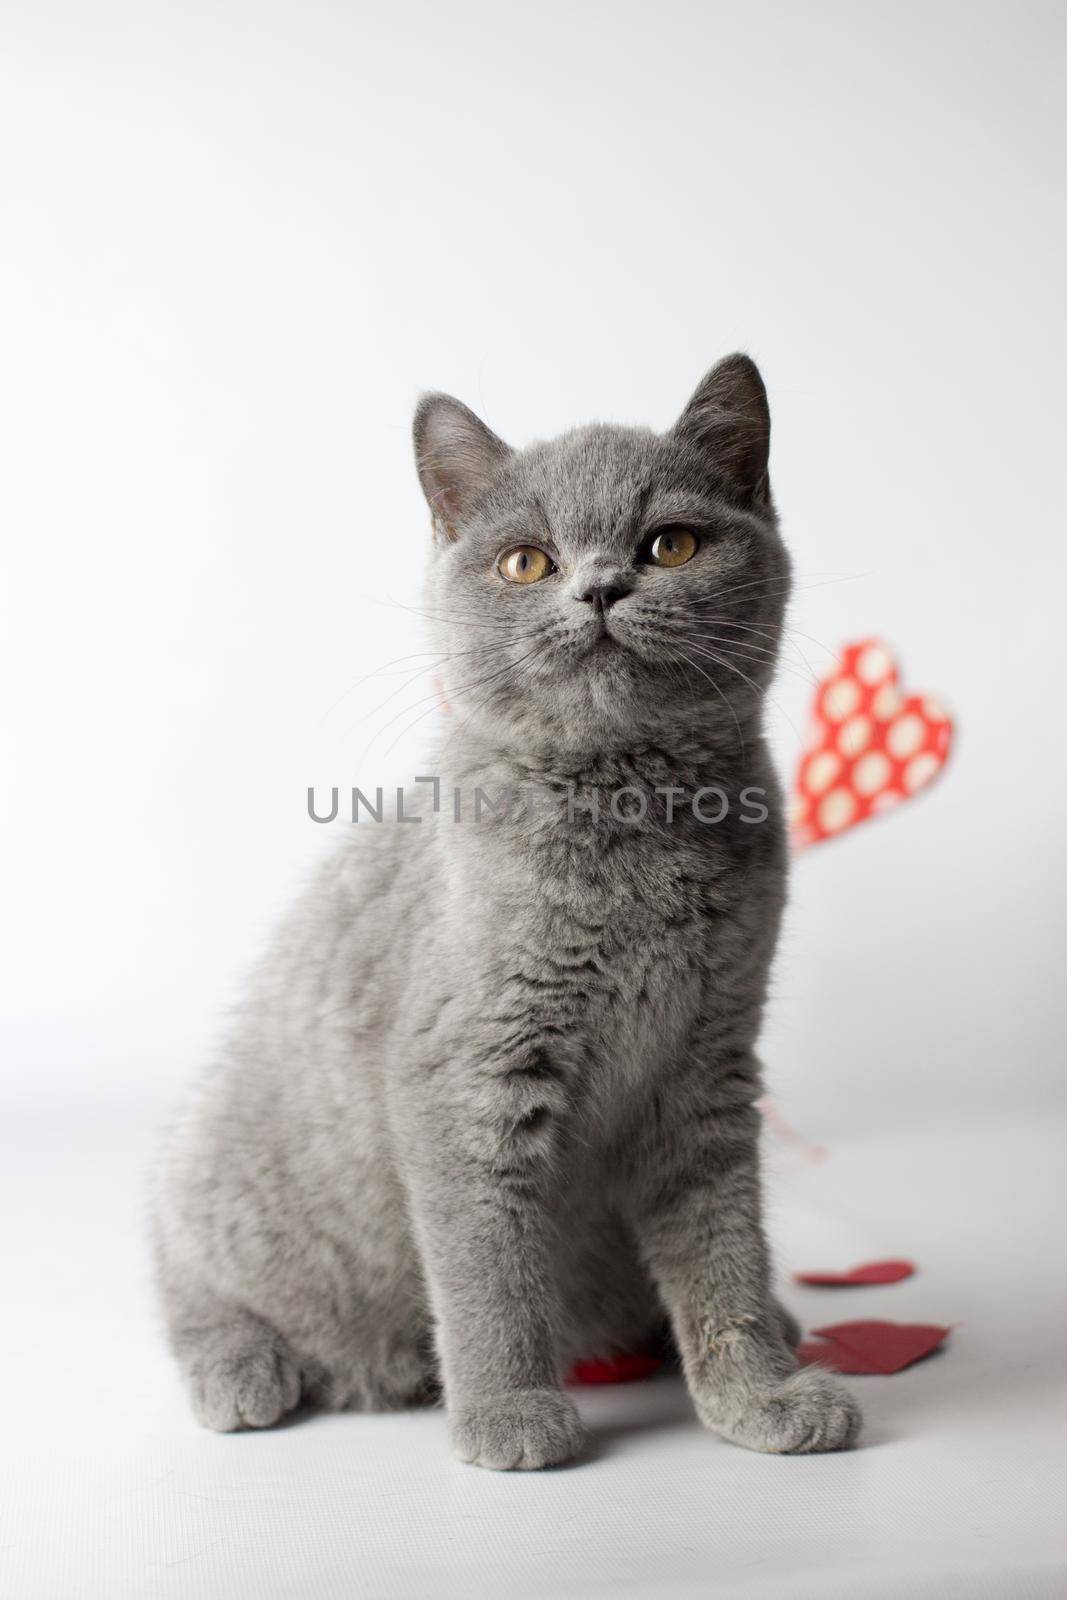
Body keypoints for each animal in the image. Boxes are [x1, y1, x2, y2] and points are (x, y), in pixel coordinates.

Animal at [154, 356, 863, 1465]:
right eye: (527, 563)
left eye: (670, 545)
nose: (600, 587)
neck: (630, 814)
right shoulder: (464, 1073)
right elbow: (487, 1264)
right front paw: (504, 1412)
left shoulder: (706, 1064)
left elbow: (723, 1251)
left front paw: (756, 1394)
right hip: (217, 1170)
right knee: (186, 1271)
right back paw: (247, 1369)